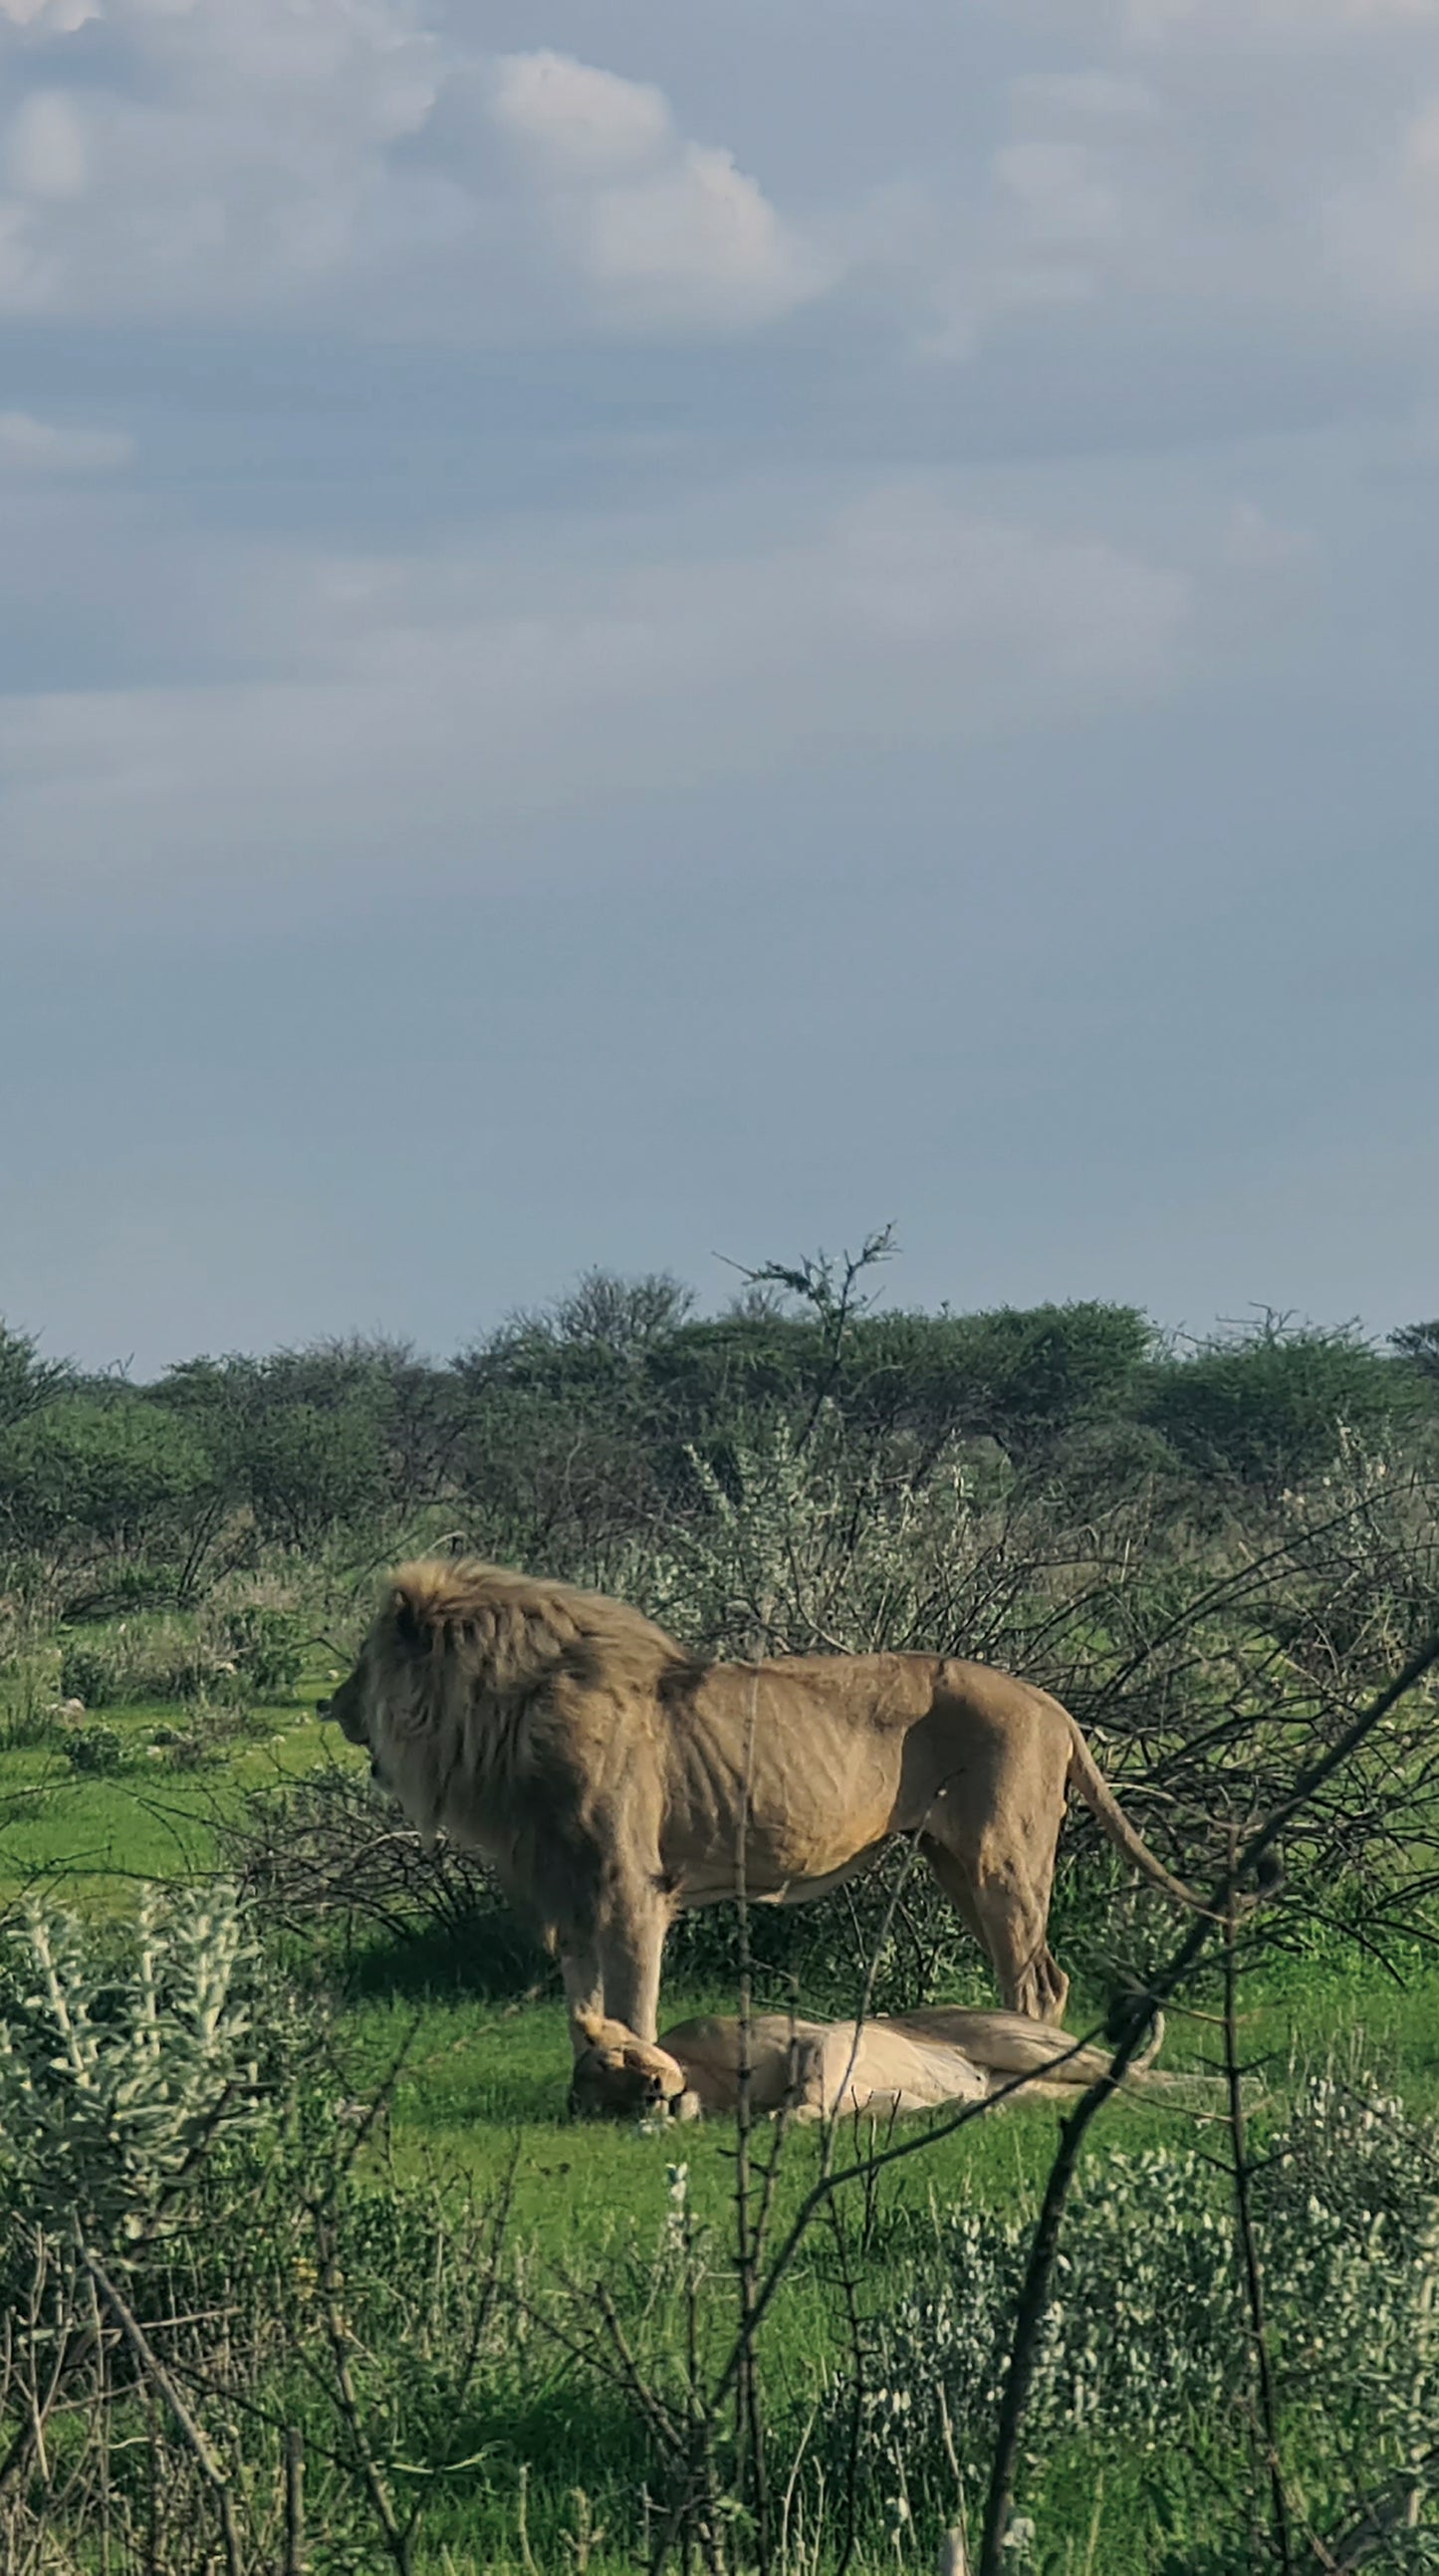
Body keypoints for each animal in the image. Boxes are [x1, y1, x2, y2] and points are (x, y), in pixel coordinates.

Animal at [320, 1557, 1212, 2051]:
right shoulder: (565, 1888)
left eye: (363, 1663)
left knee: (1037, 1981)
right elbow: (584, 2006)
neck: (505, 1723)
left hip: (1003, 1861)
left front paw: (644, 2090)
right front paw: (596, 2076)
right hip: (952, 1861)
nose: (331, 1704)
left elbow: (631, 1998)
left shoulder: (630, 1886)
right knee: (1036, 1974)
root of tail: (1052, 1705)